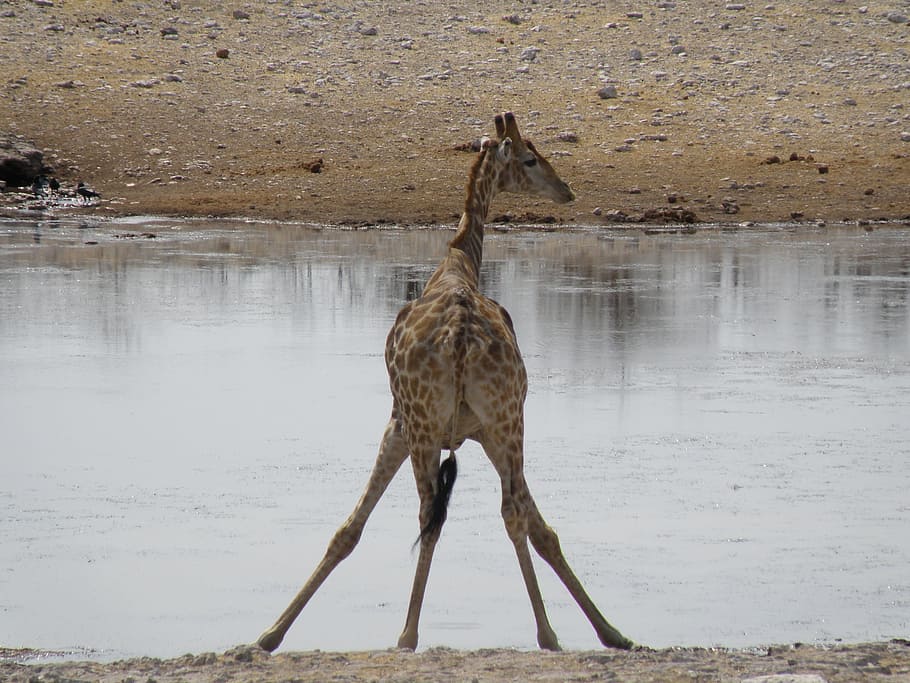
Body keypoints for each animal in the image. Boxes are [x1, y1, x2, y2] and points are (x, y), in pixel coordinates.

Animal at [257, 112, 634, 653]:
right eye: (530, 159)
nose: (566, 191)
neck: (457, 264)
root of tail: (458, 337)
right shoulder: (465, 430)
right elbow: (351, 531)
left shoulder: (403, 423)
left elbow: (359, 527)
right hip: (501, 423)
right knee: (505, 513)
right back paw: (539, 632)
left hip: (441, 426)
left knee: (436, 517)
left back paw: (412, 633)